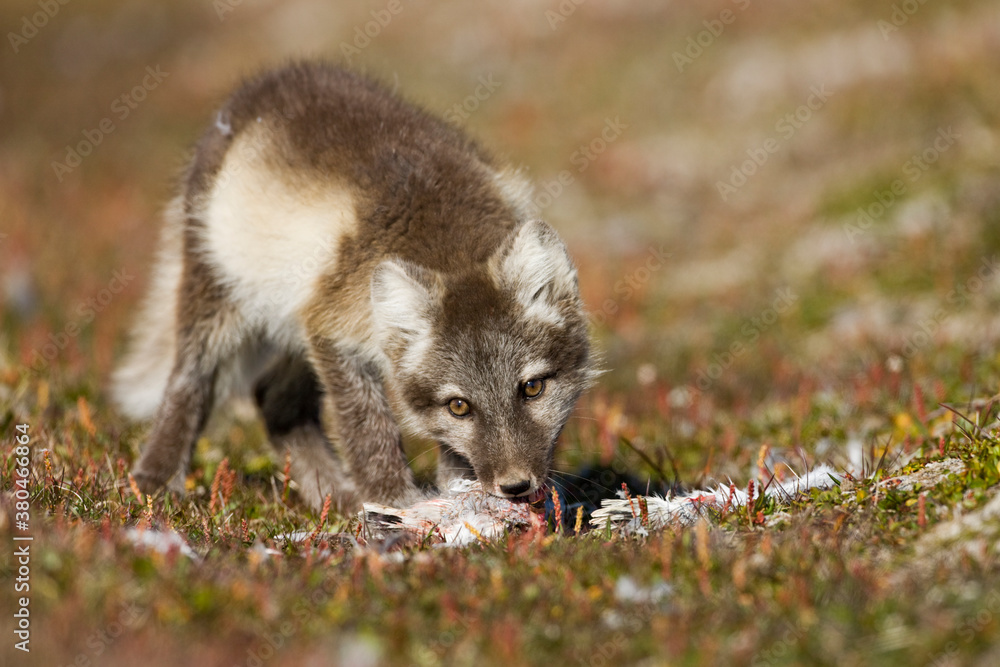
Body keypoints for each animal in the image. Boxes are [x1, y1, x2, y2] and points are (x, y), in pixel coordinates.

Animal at [112, 61, 595, 512]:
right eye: (460, 405)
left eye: (532, 388)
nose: (516, 487)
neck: (448, 245)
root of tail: (260, 86)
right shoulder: (332, 330)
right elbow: (367, 430)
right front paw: (395, 503)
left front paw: (456, 495)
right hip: (221, 294)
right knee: (189, 380)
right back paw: (155, 480)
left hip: (292, 326)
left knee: (273, 401)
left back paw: (333, 497)